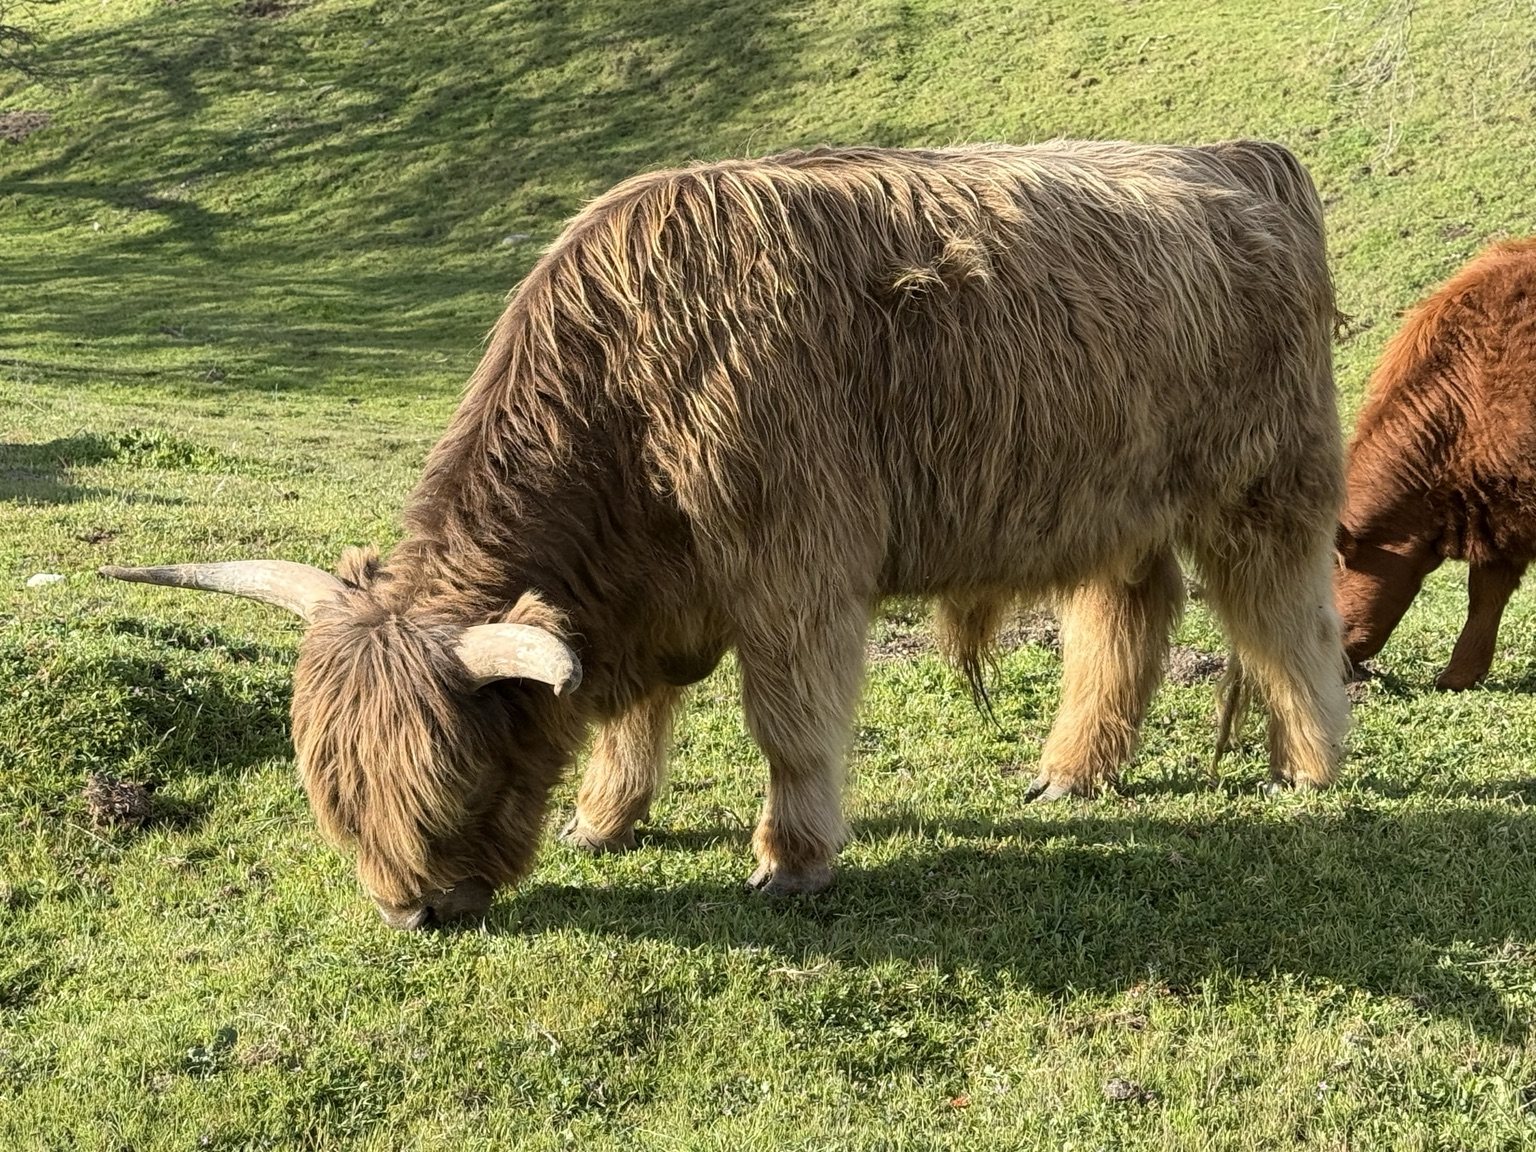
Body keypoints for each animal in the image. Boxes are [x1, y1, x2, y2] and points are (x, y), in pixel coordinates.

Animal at [102, 141, 1350, 929]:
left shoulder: (796, 569)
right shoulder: (642, 594)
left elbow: (788, 724)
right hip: (1103, 494)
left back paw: (1309, 768)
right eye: (334, 799)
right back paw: (1070, 774)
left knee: (1286, 616)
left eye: (452, 785)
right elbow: (633, 717)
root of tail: (1242, 157)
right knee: (1128, 609)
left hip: (1266, 482)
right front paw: (603, 822)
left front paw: (791, 864)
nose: (415, 914)